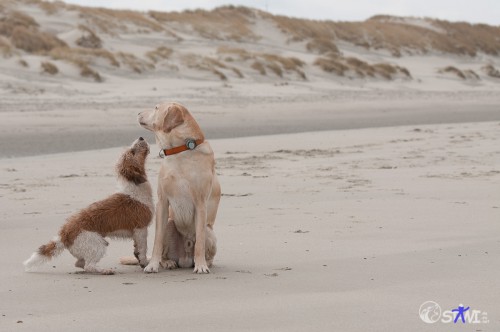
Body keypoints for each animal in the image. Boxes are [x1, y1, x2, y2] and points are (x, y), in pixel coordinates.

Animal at [22, 137, 154, 274]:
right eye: (132, 152)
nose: (141, 137)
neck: (134, 189)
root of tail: (63, 235)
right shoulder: (141, 229)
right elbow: (143, 249)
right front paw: (144, 262)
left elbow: (137, 249)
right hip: (98, 245)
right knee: (89, 266)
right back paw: (105, 271)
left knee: (80, 263)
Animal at [139, 102, 221, 274]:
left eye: (156, 108)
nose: (138, 113)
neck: (180, 151)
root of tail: (184, 259)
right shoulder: (162, 202)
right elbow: (157, 241)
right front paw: (152, 265)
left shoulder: (201, 204)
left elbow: (200, 243)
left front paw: (201, 266)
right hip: (170, 223)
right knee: (165, 251)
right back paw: (167, 262)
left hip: (209, 231)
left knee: (202, 245)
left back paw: (204, 263)